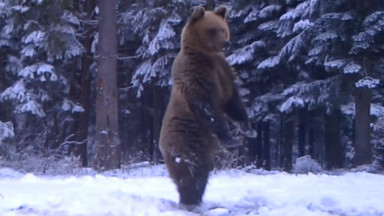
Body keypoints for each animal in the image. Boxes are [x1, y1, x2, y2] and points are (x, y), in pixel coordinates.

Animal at [159, 4, 249, 205]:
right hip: (185, 139)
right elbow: (208, 107)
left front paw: (248, 127)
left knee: (201, 172)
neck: (206, 56)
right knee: (189, 170)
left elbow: (233, 101)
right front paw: (230, 137)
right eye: (212, 30)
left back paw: (195, 197)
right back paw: (188, 198)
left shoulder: (223, 72)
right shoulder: (195, 75)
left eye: (224, 29)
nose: (226, 43)